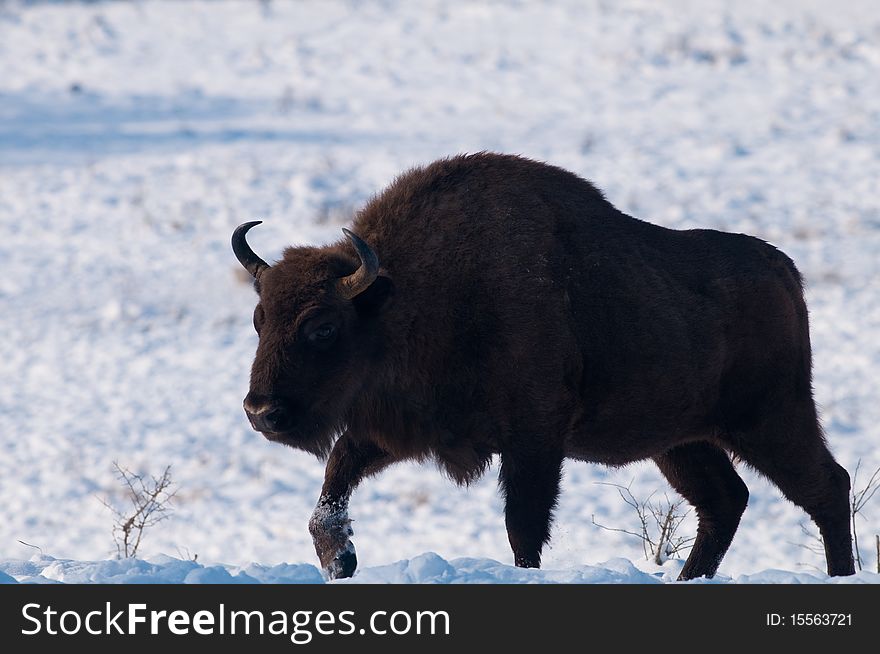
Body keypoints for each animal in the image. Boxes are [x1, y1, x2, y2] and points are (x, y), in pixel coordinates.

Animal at [232, 155, 852, 584]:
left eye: (322, 326)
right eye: (261, 319)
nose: (261, 411)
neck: (403, 295)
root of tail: (784, 271)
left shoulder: (533, 439)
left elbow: (523, 527)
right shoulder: (397, 430)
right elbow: (331, 493)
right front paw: (342, 561)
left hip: (769, 420)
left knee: (826, 485)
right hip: (682, 441)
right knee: (725, 500)